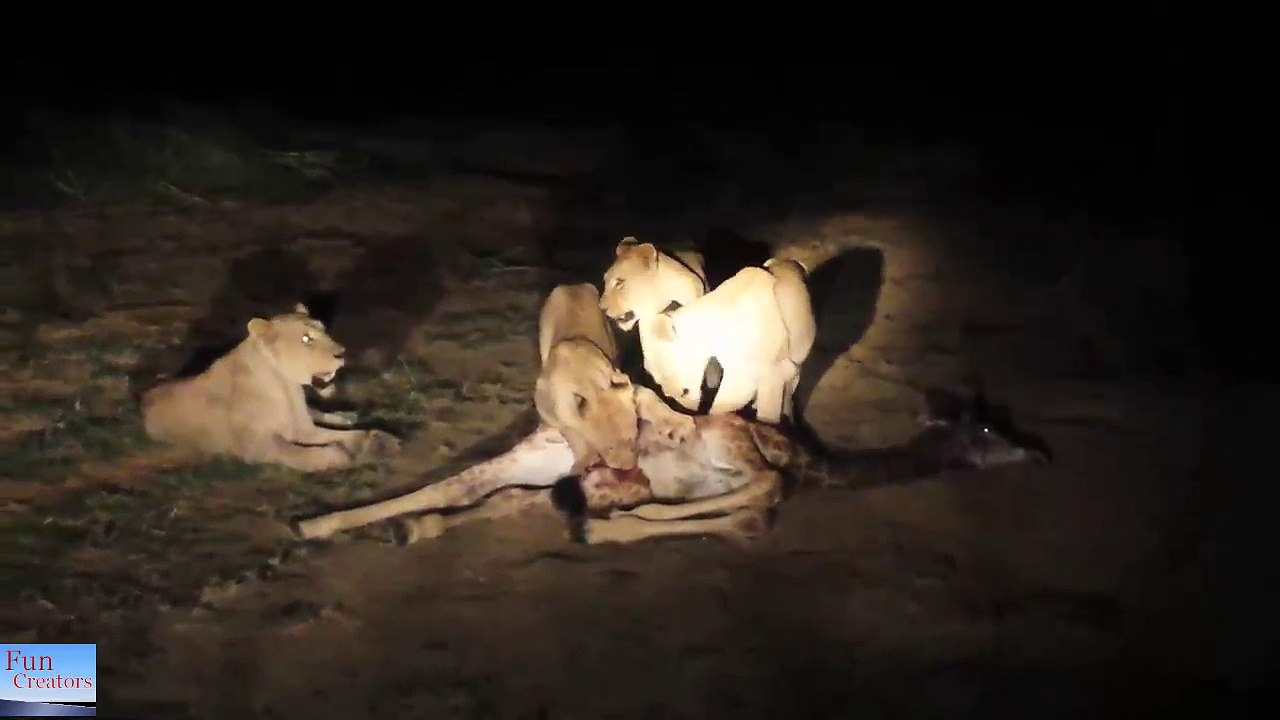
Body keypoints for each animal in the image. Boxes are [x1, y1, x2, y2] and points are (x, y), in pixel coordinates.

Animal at [139, 303, 401, 472]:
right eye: (306, 339)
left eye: (323, 329)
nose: (342, 353)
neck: (287, 387)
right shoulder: (256, 446)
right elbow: (299, 452)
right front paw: (338, 455)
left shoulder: (303, 428)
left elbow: (347, 434)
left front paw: (380, 441)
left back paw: (345, 415)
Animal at [599, 237, 817, 424]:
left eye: (620, 282)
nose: (601, 307)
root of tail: (790, 262)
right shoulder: (739, 378)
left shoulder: (773, 374)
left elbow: (768, 412)